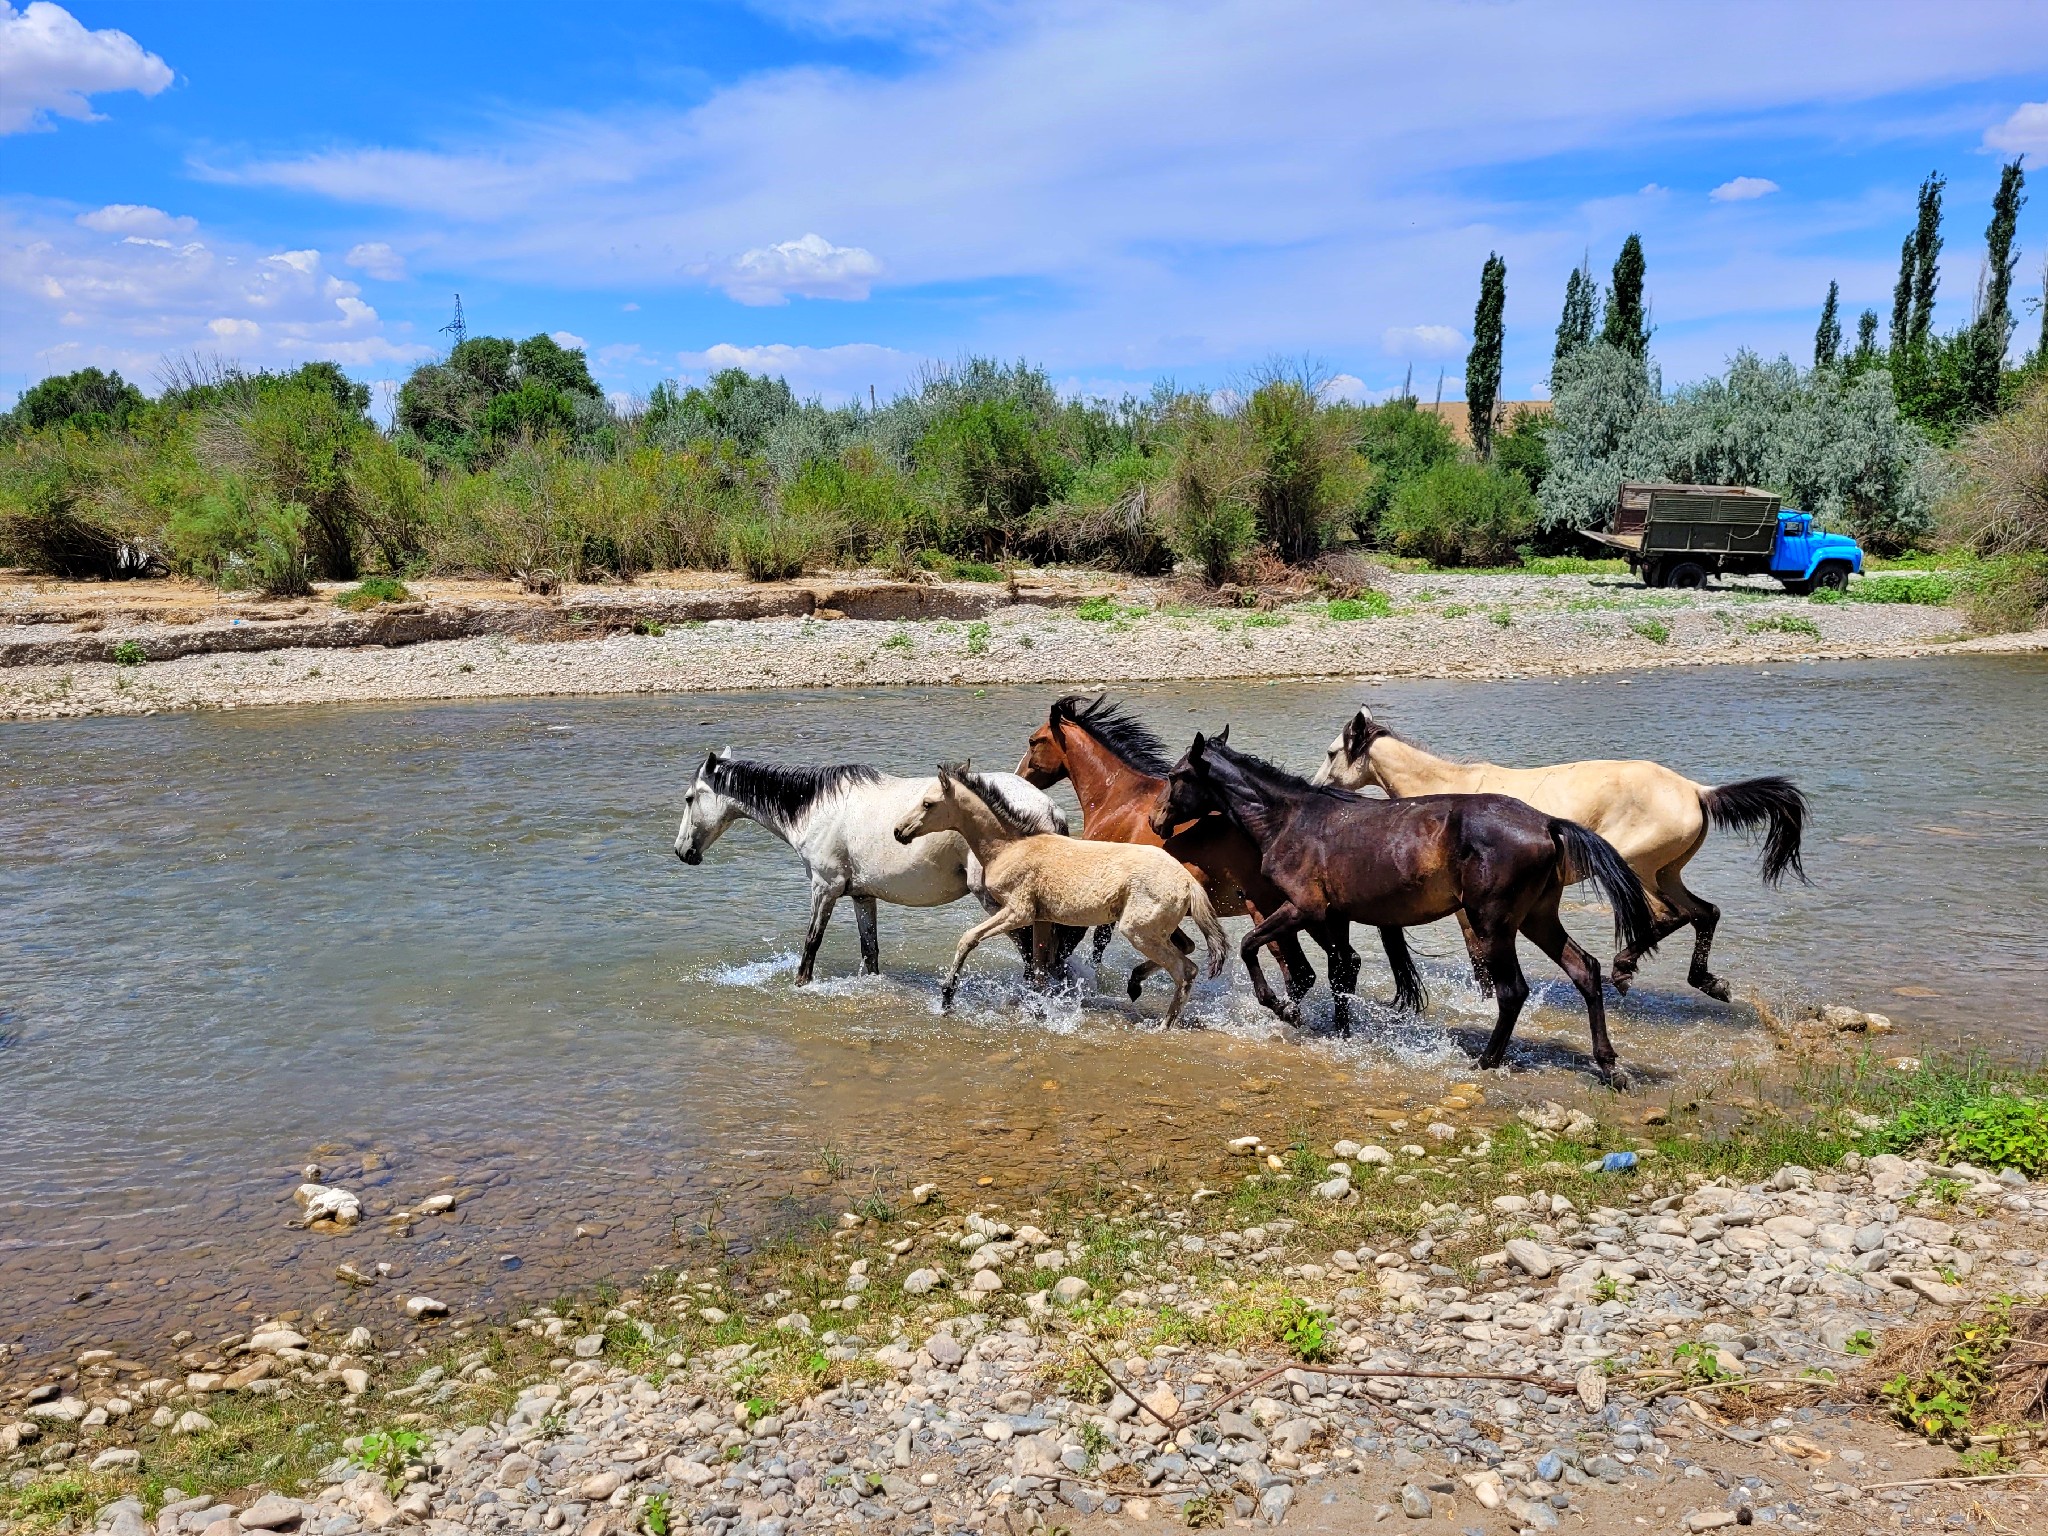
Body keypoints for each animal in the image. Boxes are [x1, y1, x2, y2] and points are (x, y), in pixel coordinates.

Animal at [888, 765, 1220, 1028]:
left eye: (928, 803)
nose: (898, 831)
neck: (1009, 847)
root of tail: (1188, 881)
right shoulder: (1041, 918)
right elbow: (1039, 968)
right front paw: (1040, 1009)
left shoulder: (1017, 911)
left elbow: (968, 938)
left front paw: (947, 997)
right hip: (1157, 928)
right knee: (1188, 949)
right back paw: (1137, 986)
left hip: (1138, 930)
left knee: (1185, 969)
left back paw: (1163, 1024)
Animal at [1015, 696, 1368, 1036]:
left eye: (1034, 741)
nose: (1019, 778)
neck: (1117, 799)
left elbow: (1093, 944)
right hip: (1319, 916)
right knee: (1343, 965)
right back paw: (1337, 1028)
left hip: (1271, 911)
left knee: (1300, 972)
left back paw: (1287, 1017)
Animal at [1155, 729, 1662, 1081]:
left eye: (1176, 776)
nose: (1157, 822)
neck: (1291, 820)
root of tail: (1547, 824)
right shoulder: (1335, 917)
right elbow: (1341, 971)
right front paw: (1339, 1031)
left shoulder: (1304, 909)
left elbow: (1250, 946)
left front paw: (1284, 1009)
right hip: (1538, 918)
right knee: (1585, 970)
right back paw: (1608, 1065)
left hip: (1494, 923)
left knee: (1513, 990)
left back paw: (1487, 1060)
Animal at [1310, 708, 1810, 999]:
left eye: (1332, 752)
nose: (1315, 788)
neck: (1444, 796)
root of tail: (1697, 791)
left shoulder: (1468, 908)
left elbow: (1479, 959)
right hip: (1668, 871)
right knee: (1704, 913)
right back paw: (1710, 984)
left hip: (1639, 869)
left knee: (1667, 916)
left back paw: (1624, 971)